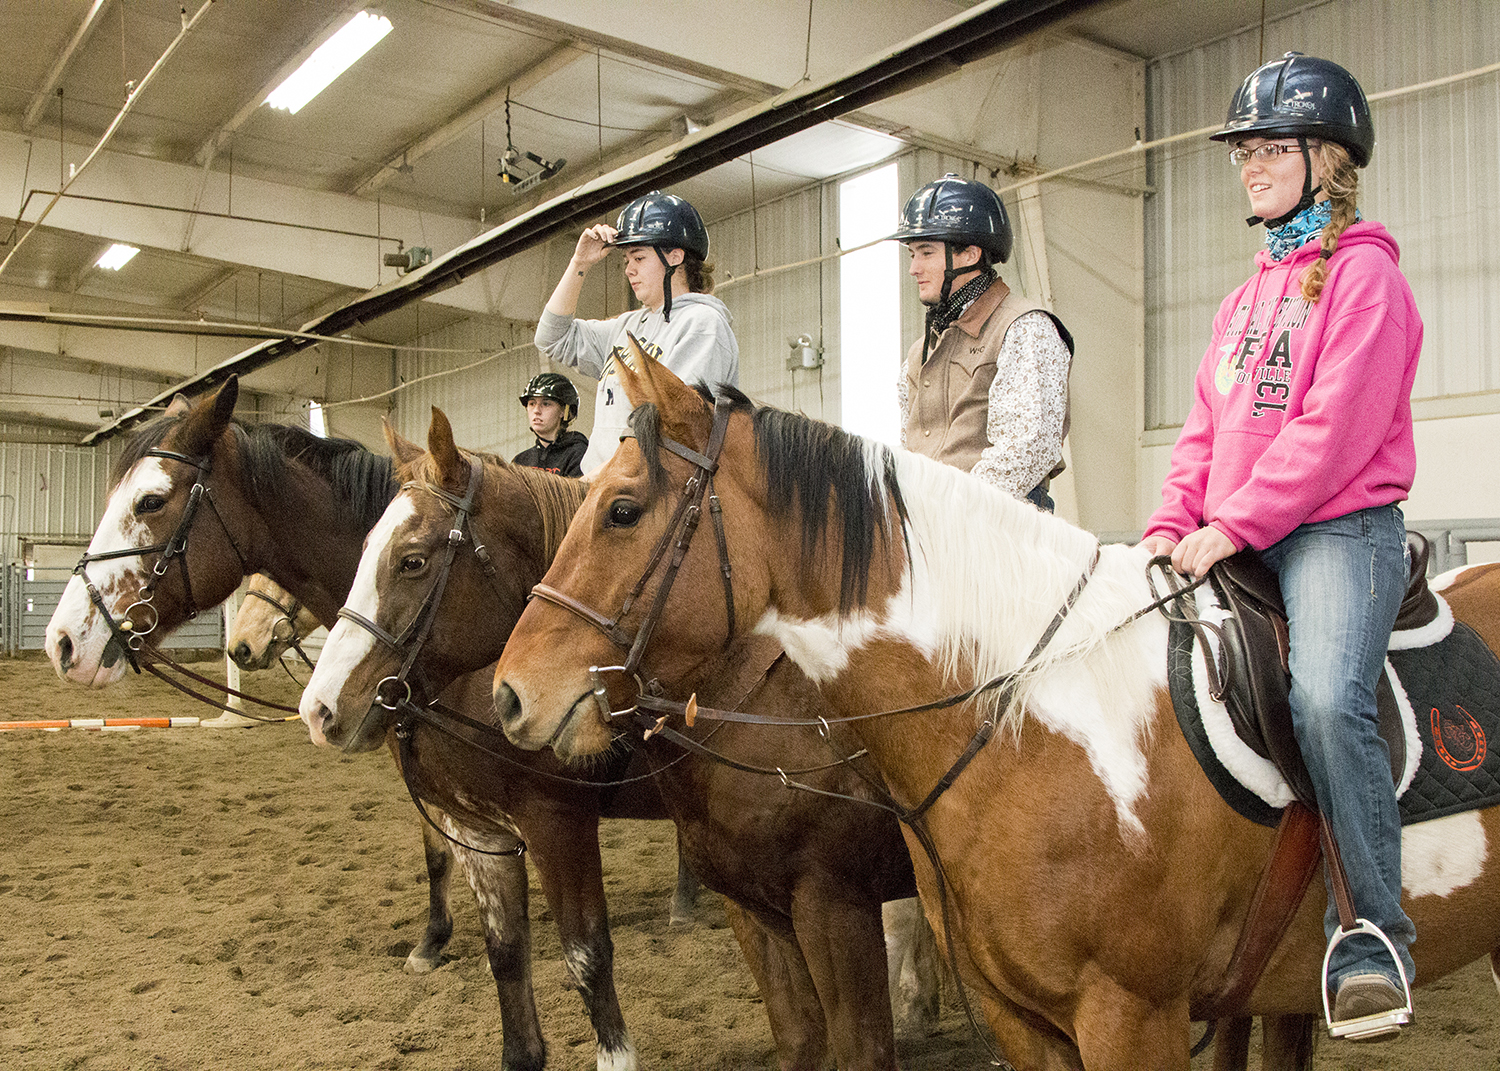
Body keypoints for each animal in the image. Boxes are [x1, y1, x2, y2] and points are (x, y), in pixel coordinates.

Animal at [42, 379, 690, 1068]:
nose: (64, 642)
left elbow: (587, 960)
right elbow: (489, 932)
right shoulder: (469, 820)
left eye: (152, 500)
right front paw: (432, 944)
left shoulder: (557, 822)